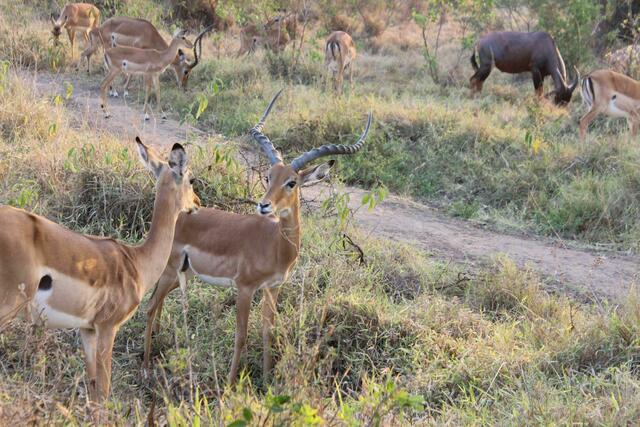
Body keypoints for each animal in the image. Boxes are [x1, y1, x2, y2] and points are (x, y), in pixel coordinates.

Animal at [0, 139, 199, 403]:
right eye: (190, 178)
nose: (197, 203)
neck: (136, 262)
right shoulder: (108, 327)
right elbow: (104, 391)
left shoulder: (87, 329)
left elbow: (93, 388)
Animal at [142, 90, 372, 383]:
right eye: (268, 176)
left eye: (291, 182)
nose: (264, 205)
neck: (275, 245)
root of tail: (178, 214)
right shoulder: (245, 288)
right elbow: (240, 336)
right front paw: (230, 384)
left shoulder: (272, 288)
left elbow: (266, 332)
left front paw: (266, 379)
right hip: (172, 269)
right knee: (150, 306)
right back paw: (145, 364)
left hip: (184, 272)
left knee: (156, 302)